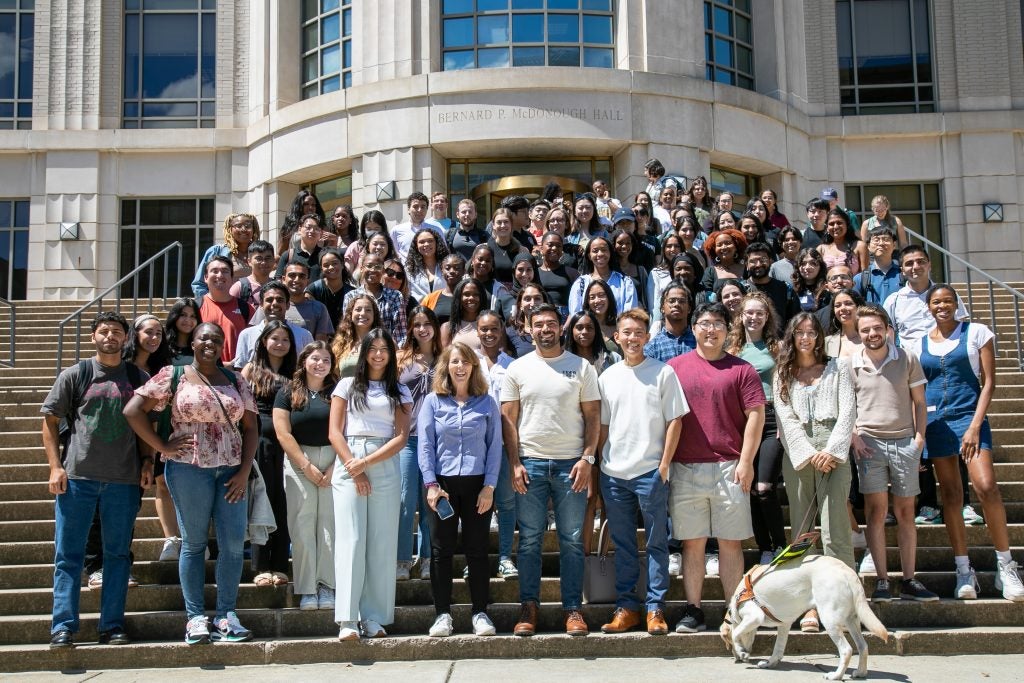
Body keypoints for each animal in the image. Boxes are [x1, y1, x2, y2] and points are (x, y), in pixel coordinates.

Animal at [720, 557, 888, 679]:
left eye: (728, 643)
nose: (736, 659)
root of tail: (848, 572)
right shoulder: (784, 624)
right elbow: (778, 648)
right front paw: (770, 663)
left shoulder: (755, 616)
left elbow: (736, 633)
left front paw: (741, 651)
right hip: (851, 621)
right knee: (863, 646)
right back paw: (860, 673)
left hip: (829, 620)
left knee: (846, 650)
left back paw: (836, 676)